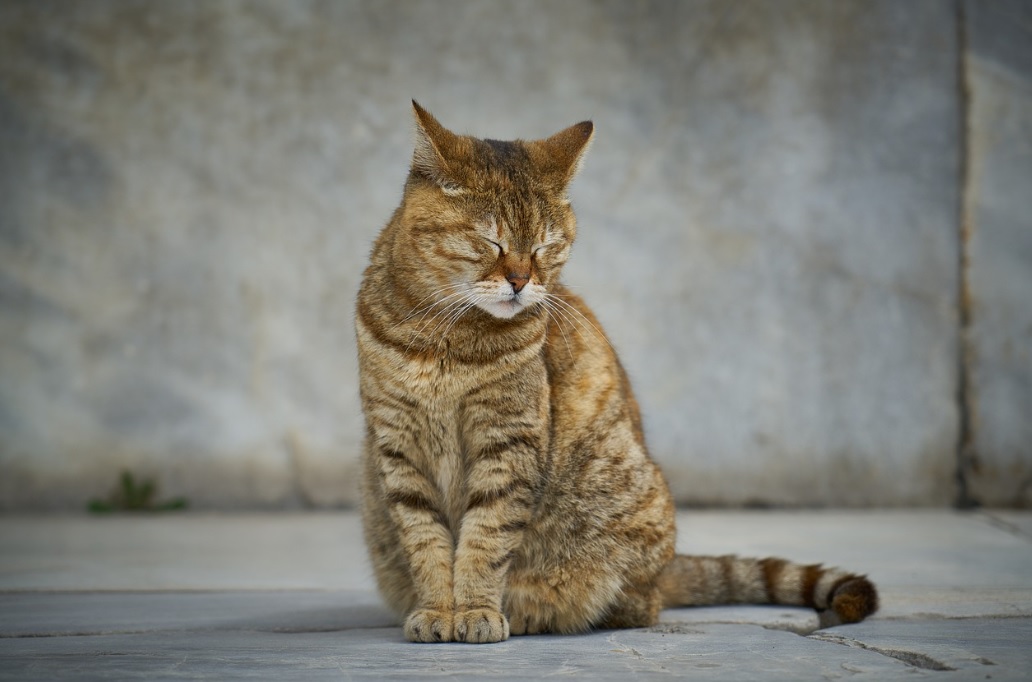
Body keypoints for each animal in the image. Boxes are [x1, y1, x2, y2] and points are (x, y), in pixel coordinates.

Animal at [357, 101, 879, 643]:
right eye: (490, 242)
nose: (521, 281)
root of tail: (667, 570)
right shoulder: (398, 448)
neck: (442, 338)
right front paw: (438, 609)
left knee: (637, 604)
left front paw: (477, 609)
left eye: (545, 247)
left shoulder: (509, 443)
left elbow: (486, 537)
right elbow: (425, 542)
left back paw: (534, 611)